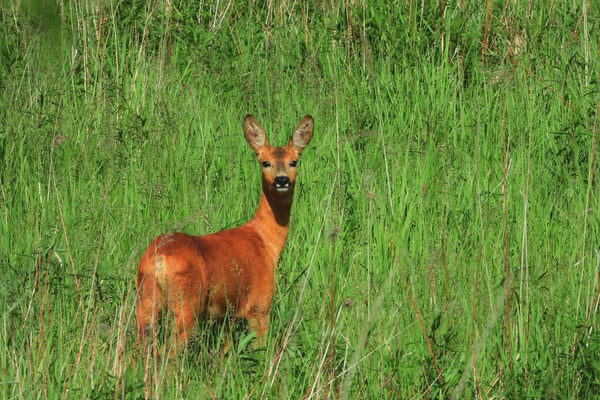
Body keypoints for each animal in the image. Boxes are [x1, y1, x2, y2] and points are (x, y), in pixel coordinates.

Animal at [136, 114, 314, 354]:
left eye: (294, 161)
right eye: (265, 162)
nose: (282, 180)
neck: (265, 242)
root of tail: (159, 260)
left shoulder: (227, 314)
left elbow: (226, 350)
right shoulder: (259, 305)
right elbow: (259, 348)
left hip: (145, 301)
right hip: (187, 305)